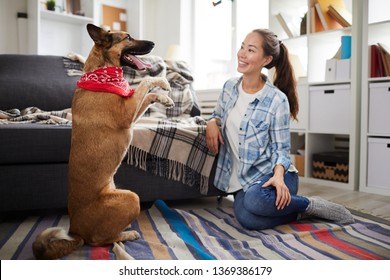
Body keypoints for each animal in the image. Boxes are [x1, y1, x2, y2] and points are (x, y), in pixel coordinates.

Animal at [32, 24, 174, 260]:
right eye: (128, 37)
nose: (153, 43)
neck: (102, 73)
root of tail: (75, 231)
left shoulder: (132, 114)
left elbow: (146, 95)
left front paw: (164, 98)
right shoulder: (126, 115)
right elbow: (144, 83)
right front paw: (162, 82)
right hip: (131, 198)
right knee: (101, 240)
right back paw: (127, 234)